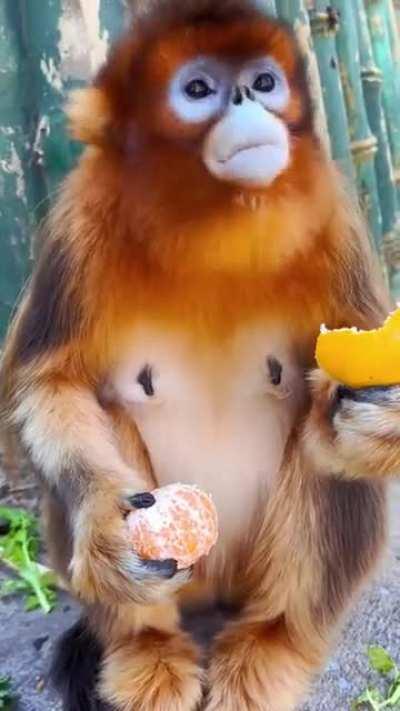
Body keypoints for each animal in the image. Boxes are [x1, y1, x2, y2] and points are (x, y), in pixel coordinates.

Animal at [0, 1, 398, 709]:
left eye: (264, 82)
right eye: (199, 89)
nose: (248, 99)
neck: (216, 220)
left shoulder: (336, 220)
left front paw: (375, 421)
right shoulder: (77, 223)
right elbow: (51, 385)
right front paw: (103, 521)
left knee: (325, 454)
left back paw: (270, 644)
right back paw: (148, 652)